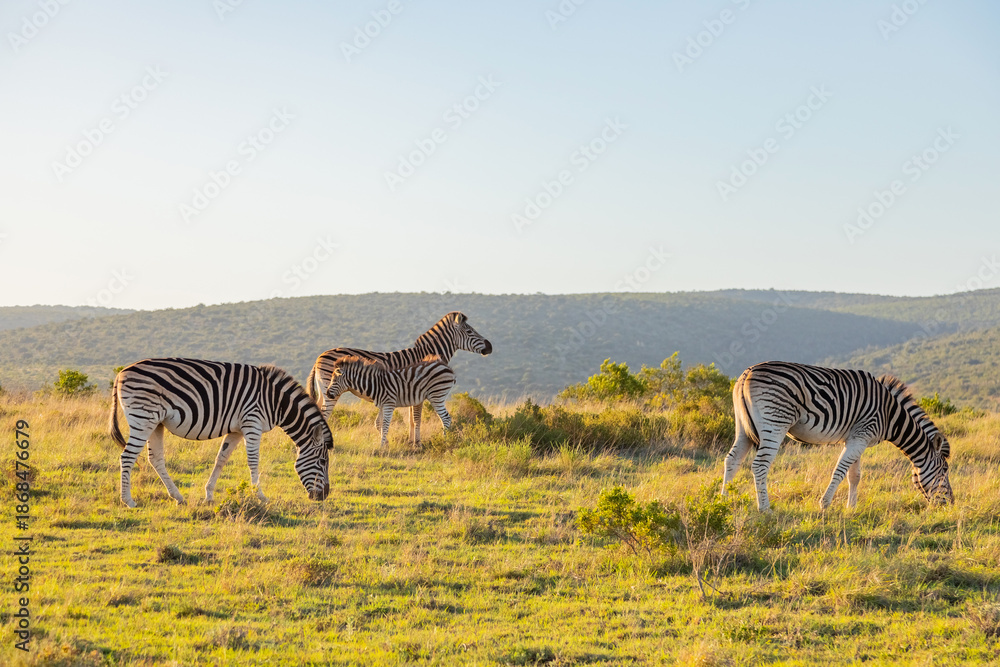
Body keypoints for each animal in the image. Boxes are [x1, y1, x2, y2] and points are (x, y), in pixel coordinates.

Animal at [109, 358, 332, 508]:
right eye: (322, 462)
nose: (324, 496)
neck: (274, 401)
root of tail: (121, 373)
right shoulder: (252, 422)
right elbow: (253, 461)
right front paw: (260, 496)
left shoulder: (236, 430)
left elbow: (221, 459)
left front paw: (209, 495)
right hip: (143, 417)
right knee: (127, 457)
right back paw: (128, 500)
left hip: (156, 423)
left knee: (155, 458)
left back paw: (178, 497)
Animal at [305, 311, 491, 421]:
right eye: (470, 331)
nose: (490, 346)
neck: (428, 353)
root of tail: (319, 357)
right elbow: (416, 418)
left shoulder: (411, 392)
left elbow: (412, 418)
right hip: (331, 389)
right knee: (324, 413)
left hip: (324, 389)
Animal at [324, 355, 456, 448]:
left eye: (334, 380)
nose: (327, 394)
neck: (375, 384)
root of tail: (446, 367)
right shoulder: (382, 405)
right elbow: (378, 423)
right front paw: (385, 443)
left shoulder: (389, 403)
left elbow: (386, 423)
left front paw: (382, 446)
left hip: (436, 395)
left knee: (446, 418)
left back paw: (445, 441)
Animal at [721, 361, 952, 511]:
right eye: (944, 471)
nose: (951, 504)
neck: (890, 415)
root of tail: (747, 373)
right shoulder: (862, 434)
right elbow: (839, 472)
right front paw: (825, 504)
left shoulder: (857, 438)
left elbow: (855, 475)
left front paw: (851, 508)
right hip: (775, 422)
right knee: (760, 465)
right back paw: (765, 509)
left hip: (743, 427)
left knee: (732, 460)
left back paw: (723, 501)